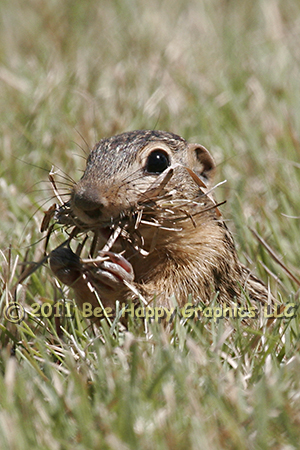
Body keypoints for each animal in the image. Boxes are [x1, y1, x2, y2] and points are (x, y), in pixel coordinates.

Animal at [49, 128, 270, 314]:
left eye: (158, 161)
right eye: (90, 159)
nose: (85, 200)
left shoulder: (207, 259)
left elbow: (163, 302)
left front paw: (119, 279)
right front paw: (64, 262)